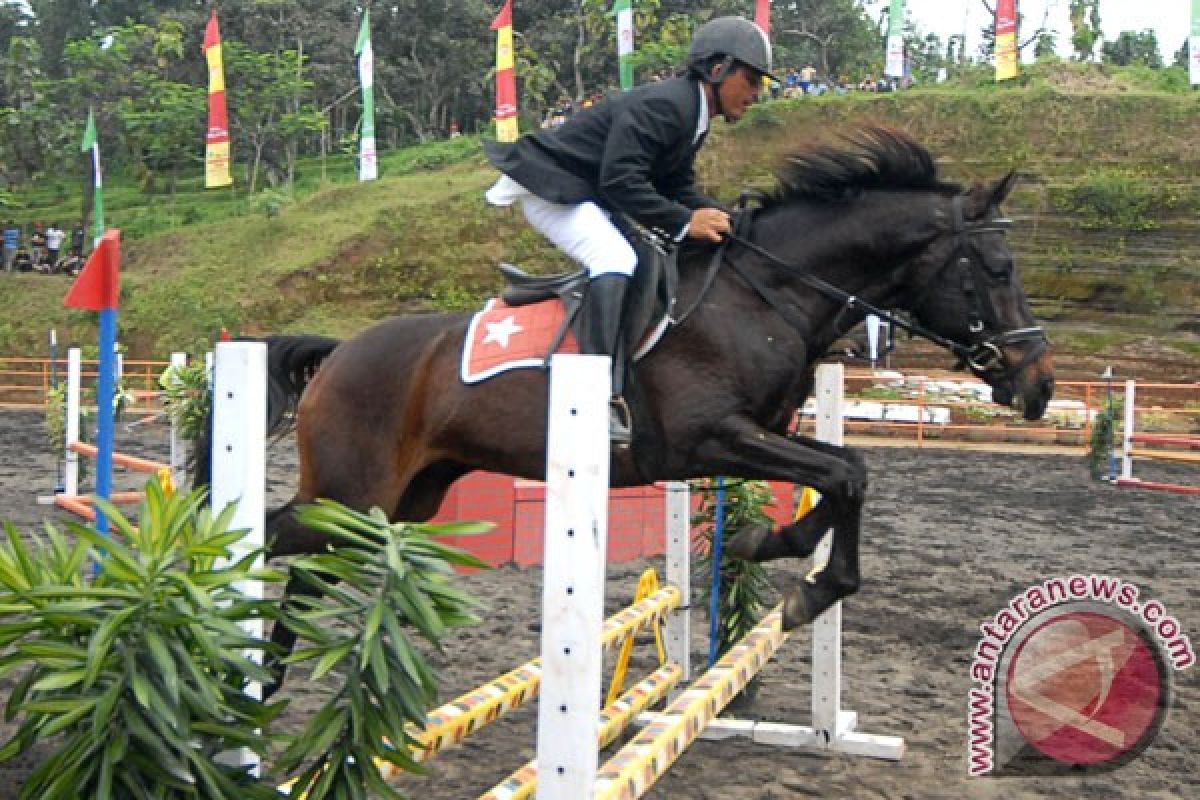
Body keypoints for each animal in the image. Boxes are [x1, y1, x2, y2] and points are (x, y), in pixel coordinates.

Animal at [204, 128, 1051, 690]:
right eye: (998, 268)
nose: (1038, 384)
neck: (764, 294)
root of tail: (341, 352)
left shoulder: (760, 434)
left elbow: (846, 470)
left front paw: (769, 544)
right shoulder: (705, 440)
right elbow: (846, 474)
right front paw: (807, 587)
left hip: (404, 500)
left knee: (310, 565)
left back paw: (264, 680)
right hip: (353, 492)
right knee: (270, 533)